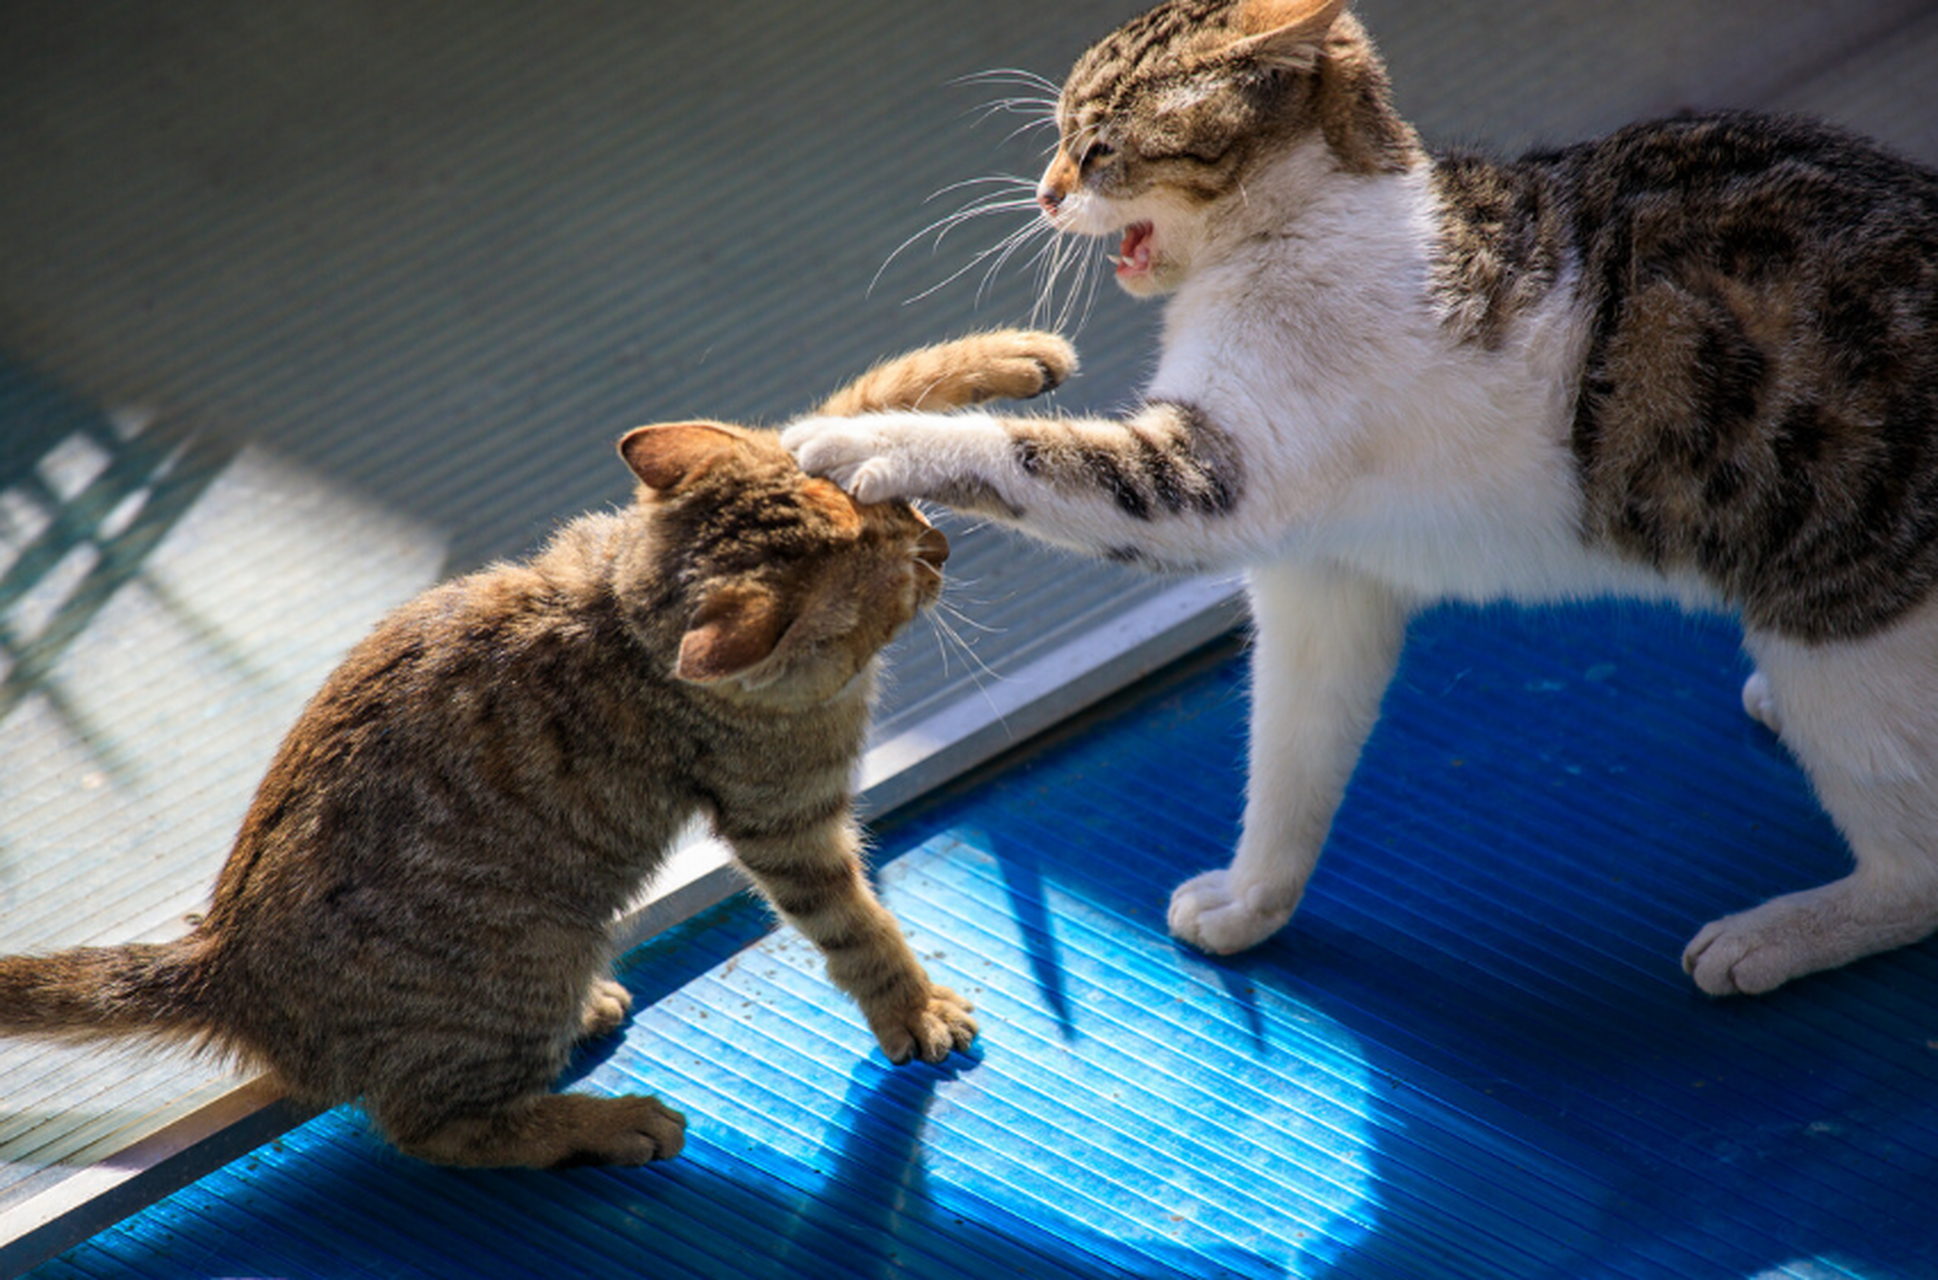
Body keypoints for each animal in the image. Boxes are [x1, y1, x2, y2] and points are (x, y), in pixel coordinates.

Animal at [0, 331, 1077, 1171]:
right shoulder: (789, 825)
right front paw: (912, 1006)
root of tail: (222, 957)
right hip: (527, 962)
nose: (939, 546)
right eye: (894, 581)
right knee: (440, 1129)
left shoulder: (801, 436)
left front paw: (1012, 358)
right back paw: (605, 1122)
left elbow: (871, 393)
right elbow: (857, 928)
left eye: (899, 509)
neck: (626, 609)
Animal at [782, 0, 1938, 1000]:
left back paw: (1777, 933)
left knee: (1916, 872)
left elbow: (1020, 452)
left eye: (1099, 145)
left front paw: (862, 438)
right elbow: (1291, 755)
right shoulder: (1321, 581)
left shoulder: (1202, 483)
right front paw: (1253, 900)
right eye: (1061, 139)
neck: (1301, 226)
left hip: (1841, 631)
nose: (1045, 193)